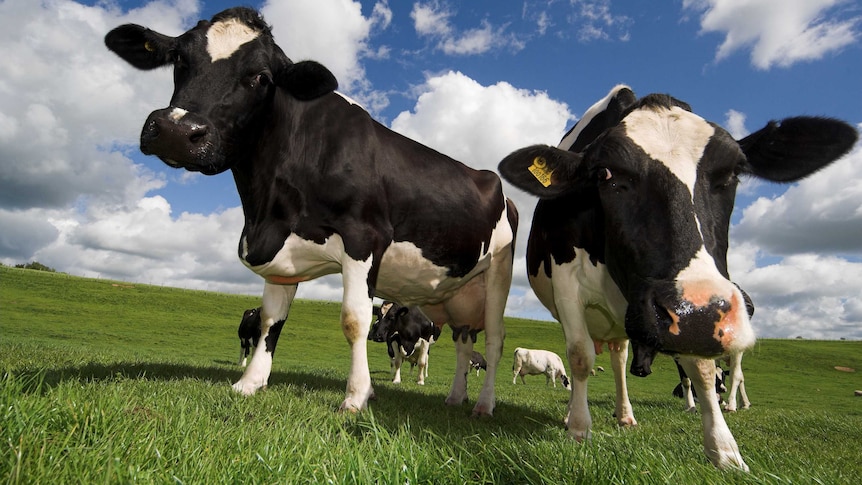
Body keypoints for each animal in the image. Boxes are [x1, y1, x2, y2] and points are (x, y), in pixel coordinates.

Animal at [104, 6, 516, 416]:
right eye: (179, 59)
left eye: (261, 77)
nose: (177, 131)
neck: (266, 212)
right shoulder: (280, 255)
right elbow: (271, 320)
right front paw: (249, 383)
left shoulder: (364, 239)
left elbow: (354, 319)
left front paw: (356, 396)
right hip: (456, 299)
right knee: (463, 346)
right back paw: (455, 397)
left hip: (499, 271)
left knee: (494, 342)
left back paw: (484, 404)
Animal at [496, 84, 860, 468]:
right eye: (605, 174)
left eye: (733, 173)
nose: (696, 312)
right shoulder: (566, 285)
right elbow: (580, 356)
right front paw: (579, 429)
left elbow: (701, 369)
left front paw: (724, 450)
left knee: (619, 357)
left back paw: (625, 414)